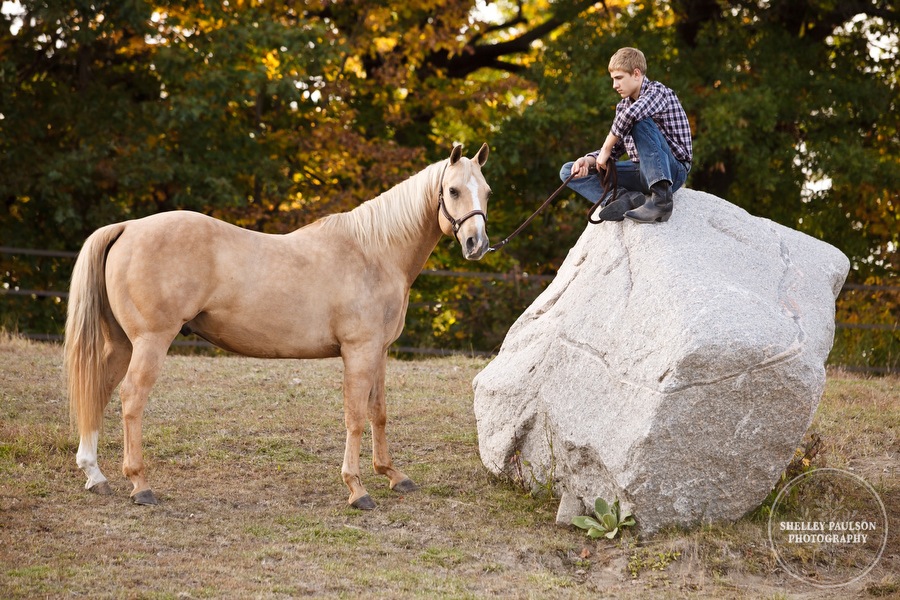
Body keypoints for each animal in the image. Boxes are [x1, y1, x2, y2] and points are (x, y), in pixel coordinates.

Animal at [65, 143, 492, 508]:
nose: (476, 244)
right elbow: (355, 416)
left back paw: (95, 476)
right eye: (453, 190)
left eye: (486, 192)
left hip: (123, 343)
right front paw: (356, 489)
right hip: (151, 341)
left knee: (99, 389)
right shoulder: (359, 351)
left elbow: (378, 412)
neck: (374, 251)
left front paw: (392, 474)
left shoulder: (379, 352)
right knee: (131, 398)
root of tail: (128, 226)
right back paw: (139, 484)